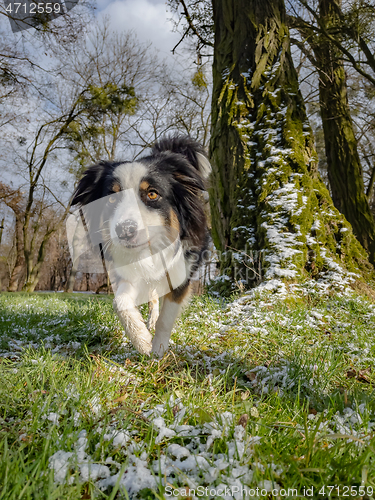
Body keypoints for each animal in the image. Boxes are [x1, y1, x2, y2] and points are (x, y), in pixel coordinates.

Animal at [70, 135, 212, 358]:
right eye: (111, 198)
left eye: (152, 194)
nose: (125, 230)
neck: (150, 250)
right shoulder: (127, 271)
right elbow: (120, 302)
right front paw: (142, 340)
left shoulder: (181, 271)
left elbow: (166, 318)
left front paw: (158, 351)